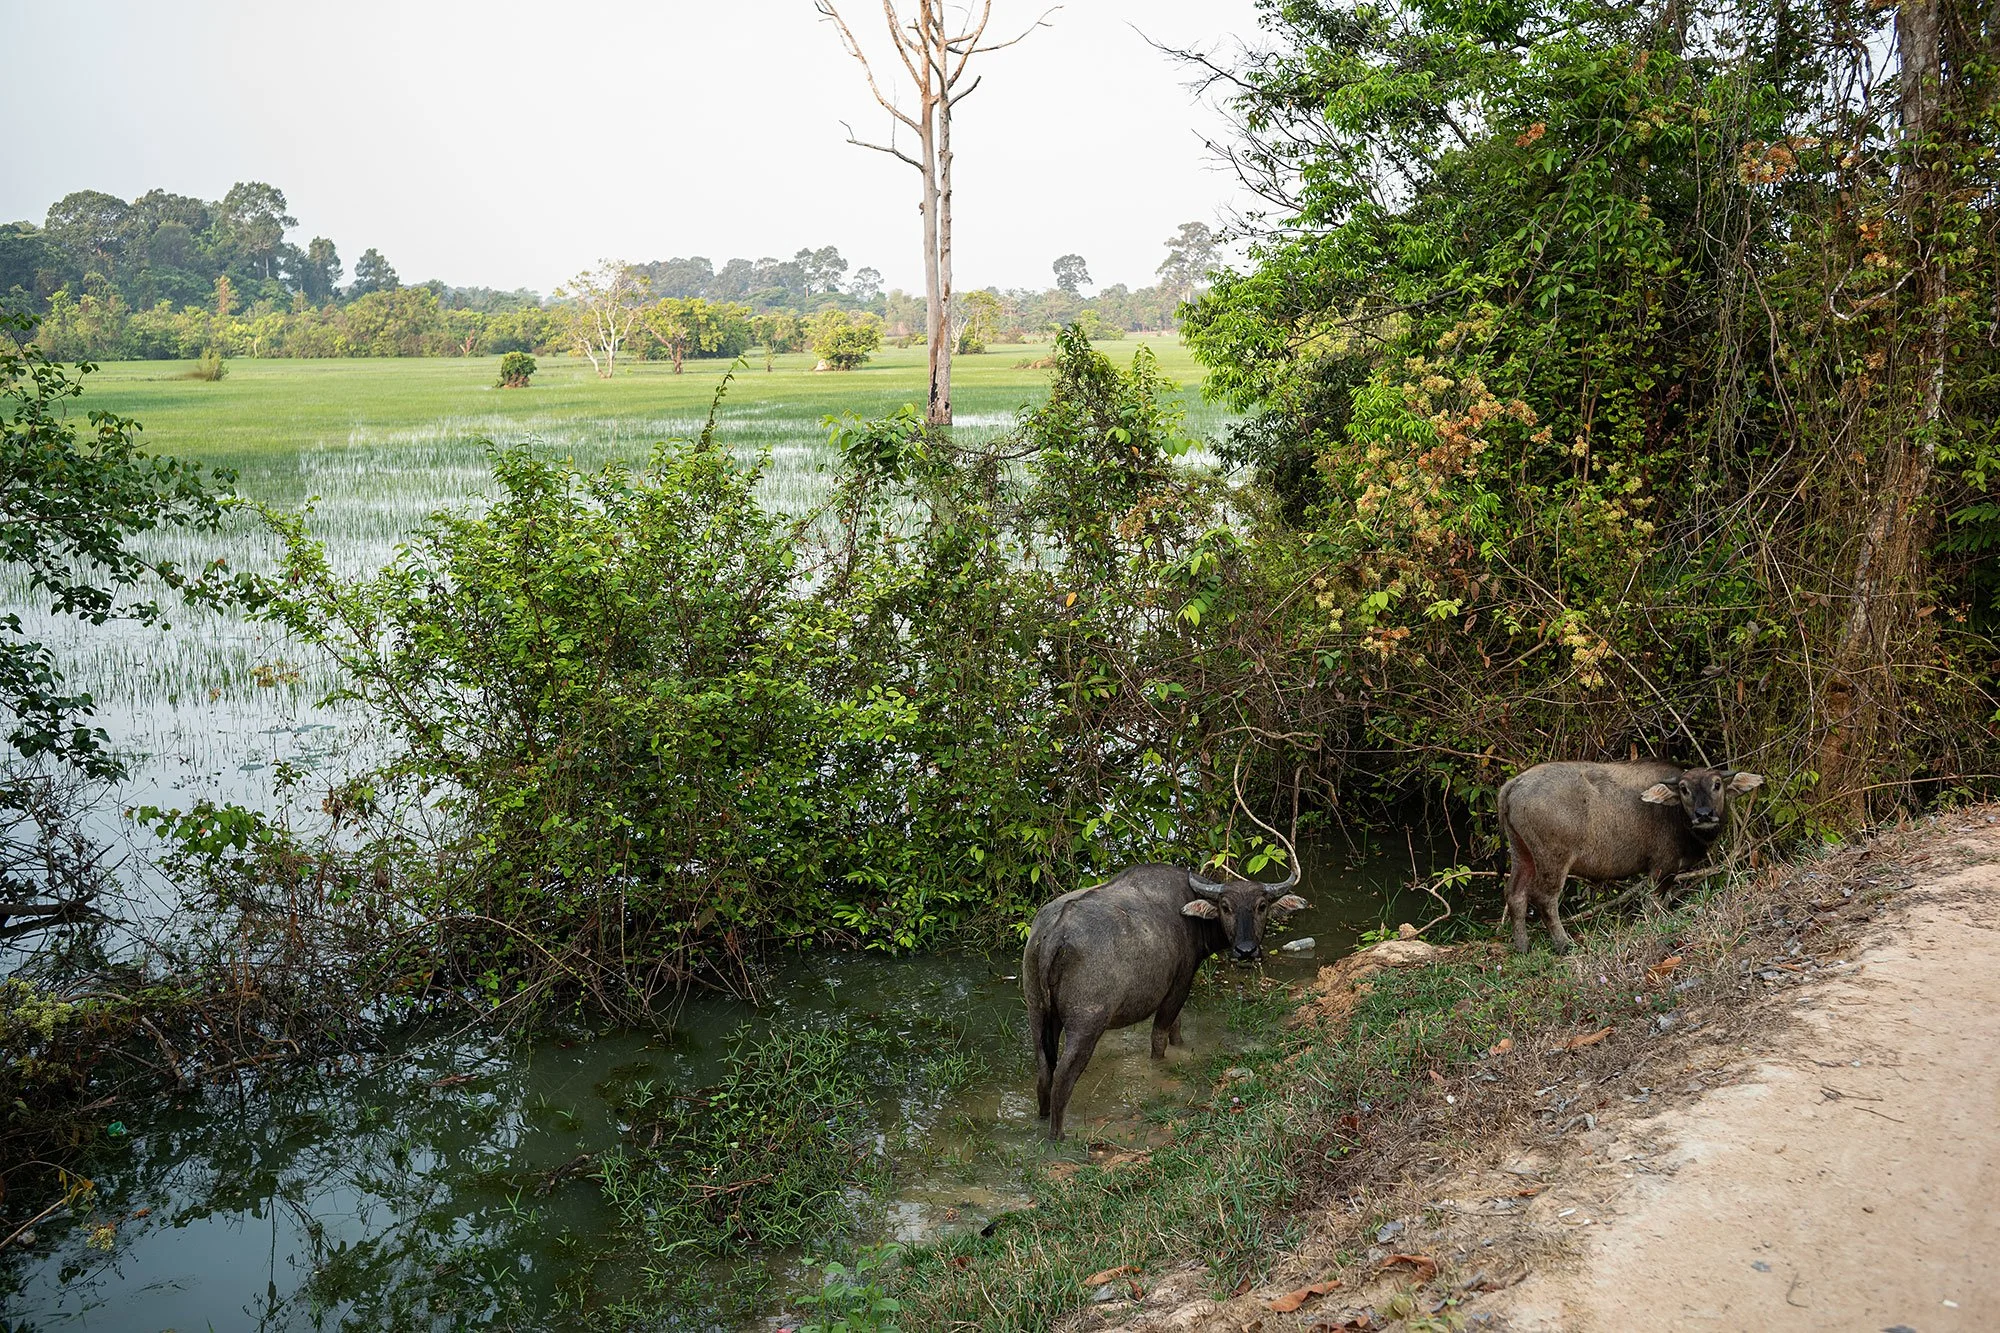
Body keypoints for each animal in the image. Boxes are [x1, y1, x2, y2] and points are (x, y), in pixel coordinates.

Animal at [1021, 861, 1307, 1140]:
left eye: (1261, 906)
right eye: (1226, 907)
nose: (1245, 951)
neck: (1191, 918)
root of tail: (1055, 934)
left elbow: (1176, 1028)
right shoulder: (1180, 984)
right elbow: (1160, 1037)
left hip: (1038, 1014)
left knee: (1044, 1071)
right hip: (1086, 1024)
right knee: (1062, 1078)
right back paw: (1058, 1136)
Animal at [1497, 760, 1764, 954]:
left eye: (1717, 784)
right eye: (1684, 789)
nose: (1704, 814)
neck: (1674, 814)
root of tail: (1514, 783)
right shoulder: (1662, 866)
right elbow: (1653, 903)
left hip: (1522, 853)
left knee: (1515, 894)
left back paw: (1522, 946)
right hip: (1553, 858)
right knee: (1545, 898)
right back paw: (1564, 944)